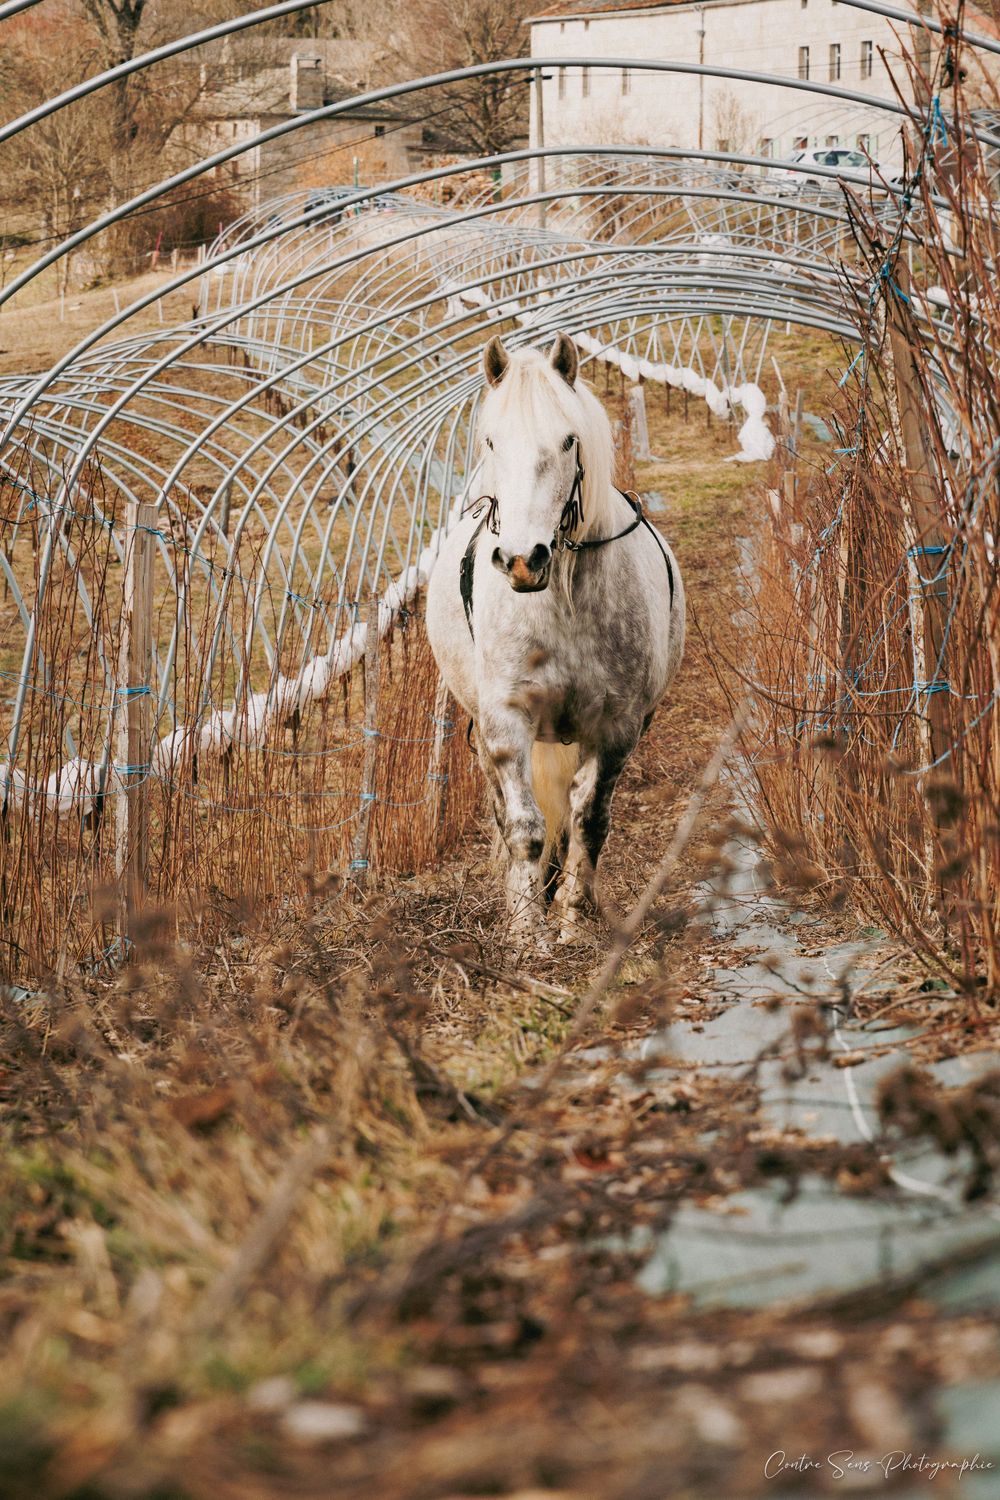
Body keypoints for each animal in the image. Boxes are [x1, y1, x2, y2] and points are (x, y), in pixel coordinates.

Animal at [425, 333, 685, 944]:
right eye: (491, 440)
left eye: (568, 440)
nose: (523, 559)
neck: (559, 602)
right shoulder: (504, 721)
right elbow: (524, 826)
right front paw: (527, 935)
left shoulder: (617, 727)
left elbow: (587, 821)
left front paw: (571, 919)